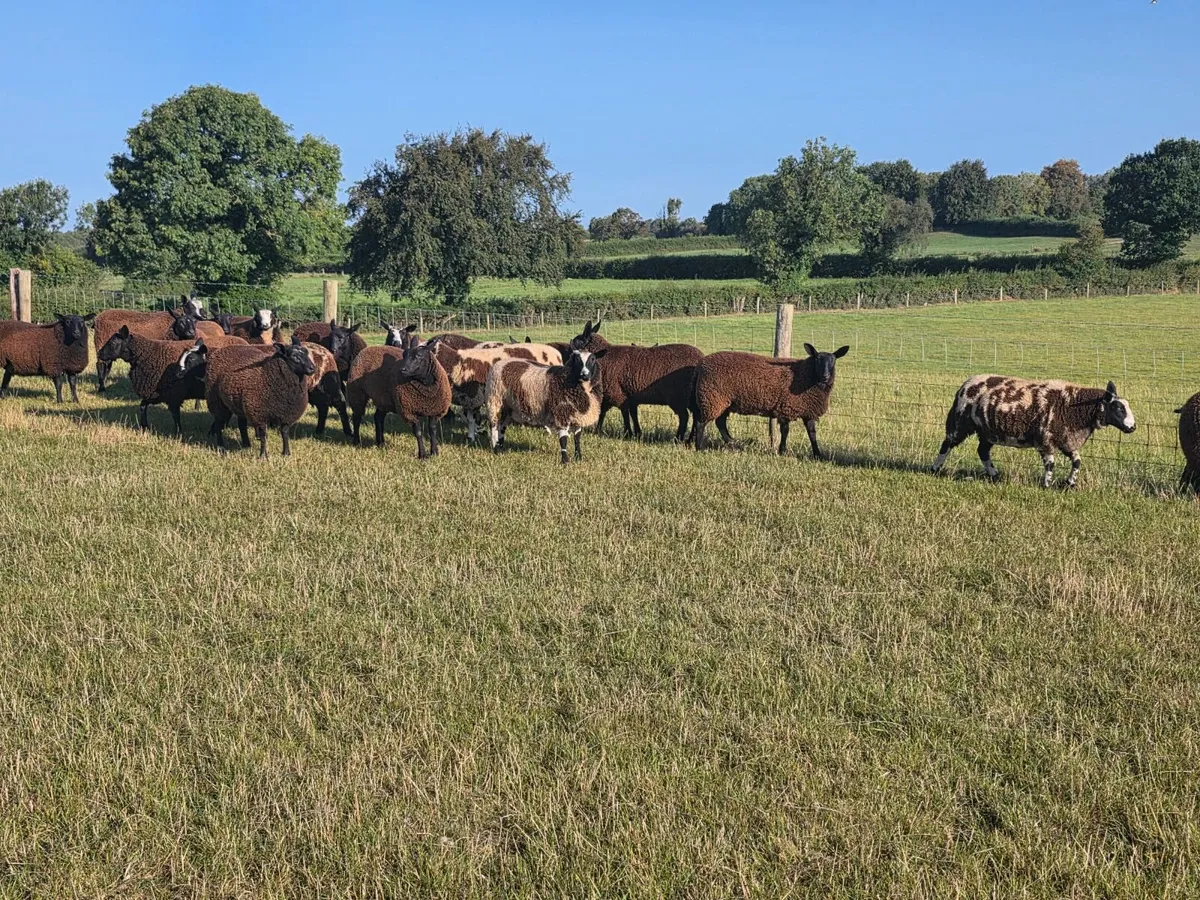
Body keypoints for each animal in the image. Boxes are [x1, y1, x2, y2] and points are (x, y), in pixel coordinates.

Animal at [434, 341, 563, 443]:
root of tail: (557, 355)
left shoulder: (475, 397)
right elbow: (470, 419)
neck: (457, 364)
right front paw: (472, 436)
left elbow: (472, 419)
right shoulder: (470, 400)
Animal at [569, 318, 702, 441]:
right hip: (692, 396)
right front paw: (637, 433)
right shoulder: (629, 395)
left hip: (677, 395)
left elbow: (618, 412)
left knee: (684, 416)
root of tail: (700, 358)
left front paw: (626, 433)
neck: (602, 358)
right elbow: (632, 413)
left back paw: (678, 439)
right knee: (696, 416)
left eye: (577, 342)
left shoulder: (615, 392)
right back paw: (690, 439)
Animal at [691, 344, 848, 458]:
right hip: (712, 398)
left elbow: (812, 433)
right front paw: (782, 451)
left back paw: (732, 443)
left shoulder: (808, 411)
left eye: (833, 361)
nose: (825, 376)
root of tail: (702, 364)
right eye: (817, 359)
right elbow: (785, 431)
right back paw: (699, 448)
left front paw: (818, 455)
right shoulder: (786, 407)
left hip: (724, 401)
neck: (806, 375)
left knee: (720, 423)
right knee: (700, 423)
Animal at [931, 375, 1137, 488]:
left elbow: (1077, 462)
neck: (1075, 408)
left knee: (982, 451)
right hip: (961, 422)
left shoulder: (1066, 441)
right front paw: (1047, 484)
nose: (1132, 427)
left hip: (988, 430)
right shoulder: (1046, 440)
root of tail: (965, 385)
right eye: (1118, 408)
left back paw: (995, 475)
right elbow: (1050, 464)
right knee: (947, 444)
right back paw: (935, 469)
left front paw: (1069, 483)